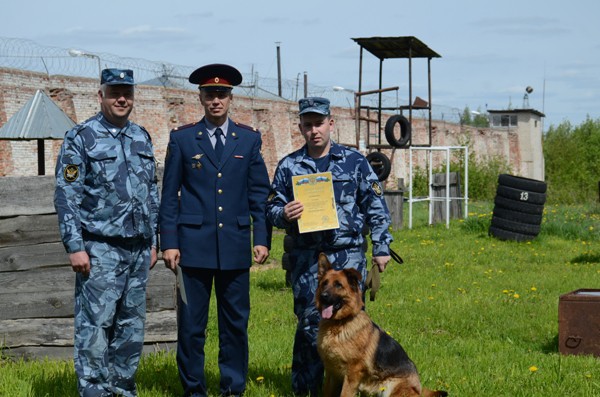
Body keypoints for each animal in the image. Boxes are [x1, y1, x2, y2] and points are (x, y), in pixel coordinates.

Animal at [316, 254, 448, 396]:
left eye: (338, 285)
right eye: (324, 283)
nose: (323, 296)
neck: (339, 323)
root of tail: (419, 391)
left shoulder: (352, 375)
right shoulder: (331, 373)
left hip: (391, 386)